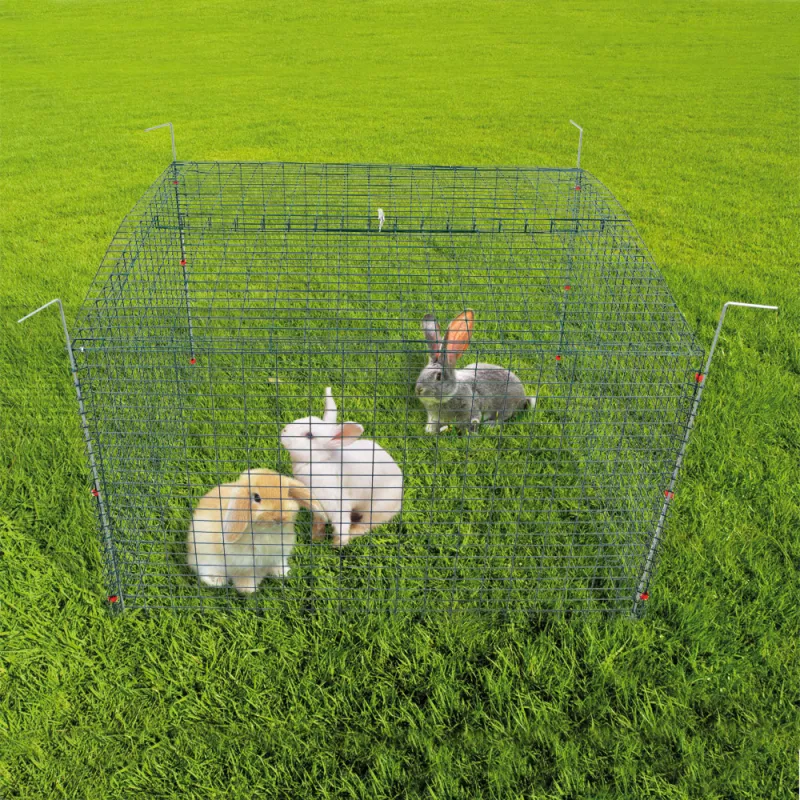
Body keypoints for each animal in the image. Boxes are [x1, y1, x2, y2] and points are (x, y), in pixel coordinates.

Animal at [186, 468, 326, 594]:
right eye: (257, 497)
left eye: (286, 494)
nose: (279, 517)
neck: (268, 531)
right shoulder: (243, 564)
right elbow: (245, 577)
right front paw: (248, 590)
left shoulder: (278, 555)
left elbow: (277, 564)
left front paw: (284, 573)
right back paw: (216, 580)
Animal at [280, 387, 404, 548]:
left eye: (309, 435)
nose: (284, 431)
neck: (320, 461)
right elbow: (319, 520)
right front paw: (317, 537)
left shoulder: (337, 502)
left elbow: (341, 524)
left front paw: (338, 544)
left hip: (376, 509)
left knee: (364, 526)